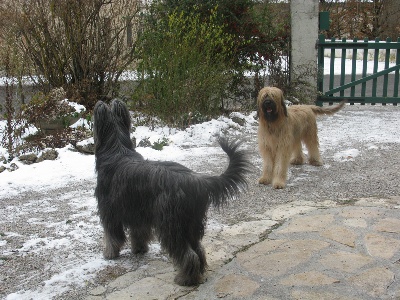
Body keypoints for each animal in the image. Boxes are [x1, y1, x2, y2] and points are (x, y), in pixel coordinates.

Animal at [94, 99, 250, 286]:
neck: (117, 149)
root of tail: (195, 180)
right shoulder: (138, 211)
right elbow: (139, 233)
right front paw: (139, 249)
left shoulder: (109, 211)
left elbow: (112, 236)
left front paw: (109, 253)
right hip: (191, 222)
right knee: (198, 249)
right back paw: (197, 273)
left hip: (171, 224)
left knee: (187, 253)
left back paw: (185, 279)